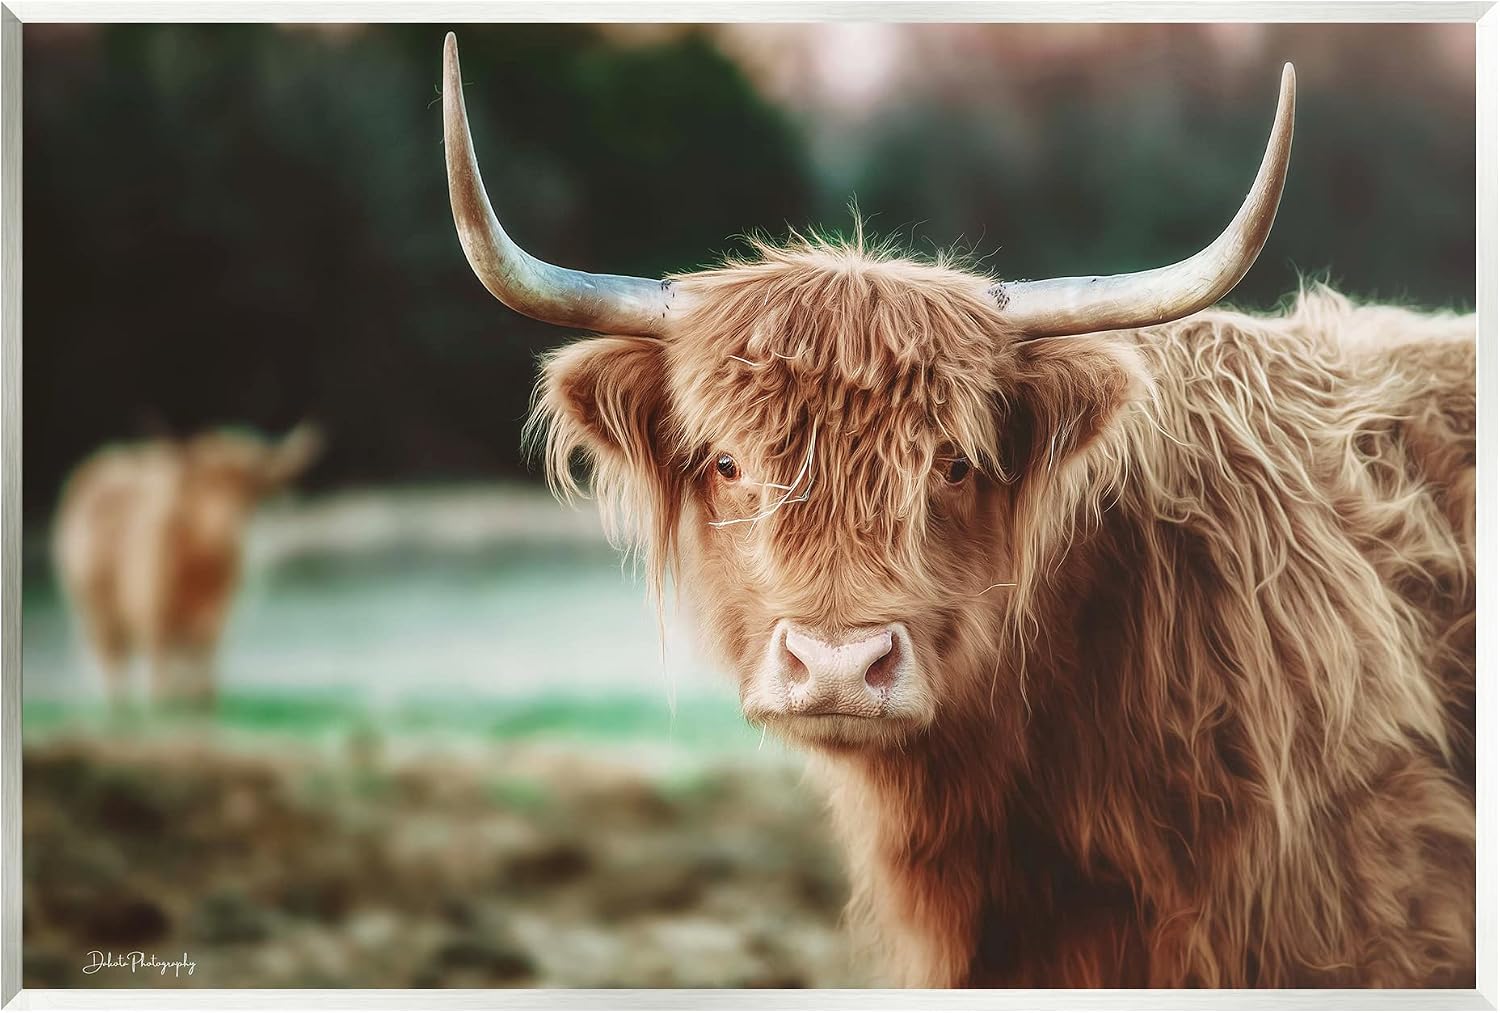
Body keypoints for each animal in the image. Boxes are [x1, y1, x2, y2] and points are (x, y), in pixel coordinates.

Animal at [53, 425, 321, 707]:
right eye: (205, 487)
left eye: (249, 491)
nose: (226, 528)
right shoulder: (155, 627)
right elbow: (160, 689)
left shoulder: (210, 632)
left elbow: (204, 688)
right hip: (99, 618)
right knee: (117, 677)